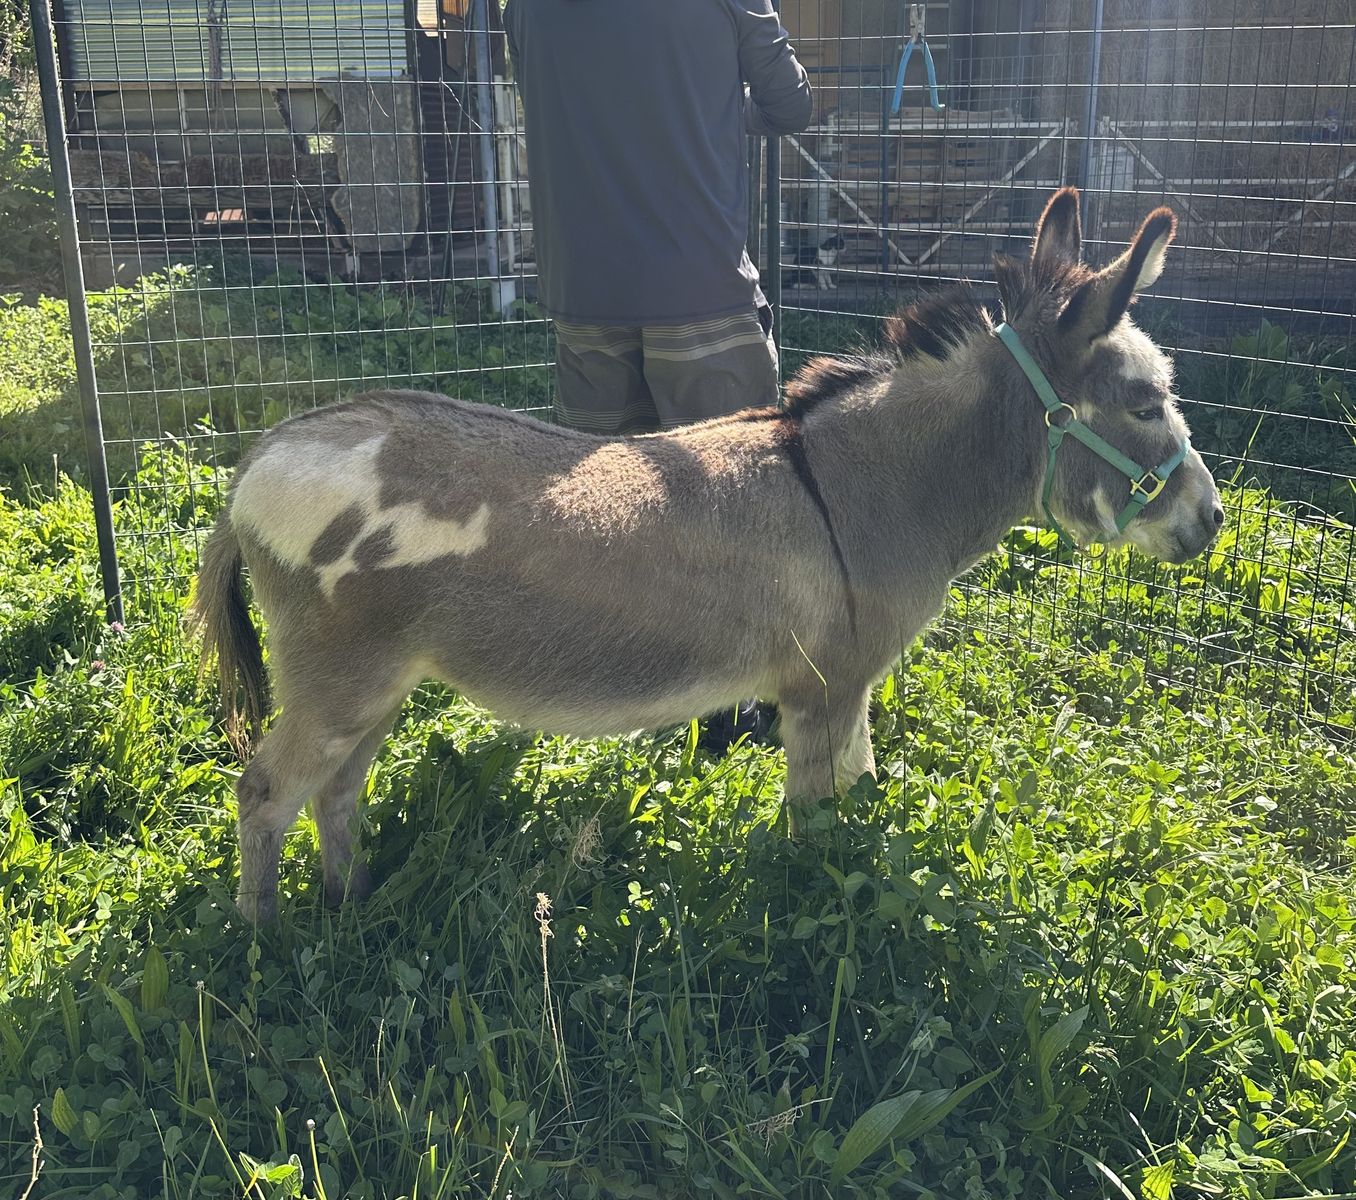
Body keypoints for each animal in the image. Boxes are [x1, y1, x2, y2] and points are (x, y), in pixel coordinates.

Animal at [192, 187, 1223, 922]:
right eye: (1143, 403)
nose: (1212, 521)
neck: (863, 486)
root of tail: (256, 462)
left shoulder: (848, 690)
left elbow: (861, 787)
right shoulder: (821, 691)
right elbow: (817, 823)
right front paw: (811, 923)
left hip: (379, 684)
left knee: (336, 789)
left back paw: (350, 903)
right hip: (340, 679)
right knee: (266, 792)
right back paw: (267, 946)